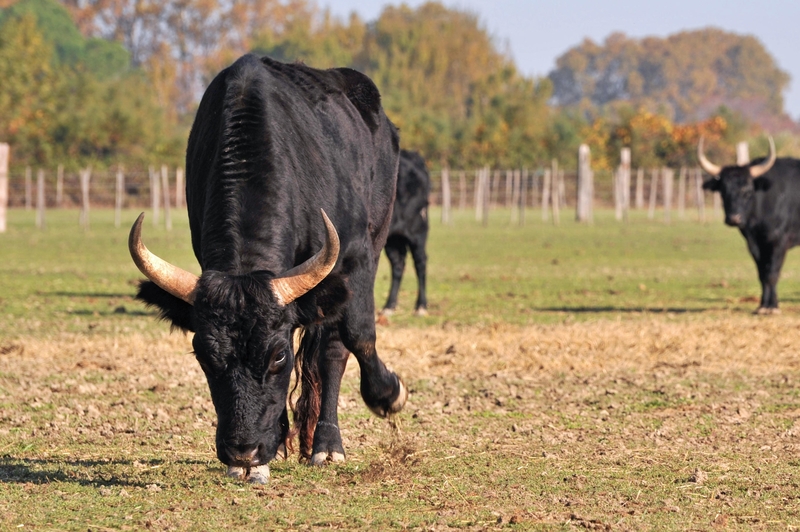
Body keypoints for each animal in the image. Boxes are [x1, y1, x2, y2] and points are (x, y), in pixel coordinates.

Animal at [130, 55, 410, 482]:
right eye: (203, 355)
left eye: (278, 356)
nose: (243, 450)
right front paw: (266, 454)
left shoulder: (356, 257)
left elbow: (357, 334)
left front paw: (389, 394)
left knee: (332, 348)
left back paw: (326, 445)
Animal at [382, 149, 432, 316]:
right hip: (392, 238)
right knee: (398, 264)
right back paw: (389, 306)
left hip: (417, 230)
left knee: (420, 263)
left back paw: (421, 306)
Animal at [696, 135, 800, 314]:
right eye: (723, 190)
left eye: (747, 190)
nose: (733, 218)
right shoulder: (753, 243)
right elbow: (762, 273)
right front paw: (763, 305)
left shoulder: (779, 241)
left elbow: (772, 272)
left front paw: (772, 307)